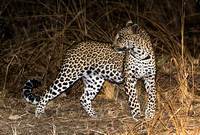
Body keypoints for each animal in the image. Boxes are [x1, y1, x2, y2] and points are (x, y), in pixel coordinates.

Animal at [22, 20, 157, 121]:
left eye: (120, 38)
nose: (113, 46)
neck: (140, 54)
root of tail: (73, 46)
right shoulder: (129, 79)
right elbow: (133, 100)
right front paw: (138, 115)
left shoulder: (150, 78)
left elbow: (152, 97)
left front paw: (150, 114)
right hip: (68, 75)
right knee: (46, 92)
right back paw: (39, 113)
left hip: (94, 80)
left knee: (84, 98)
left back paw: (95, 115)